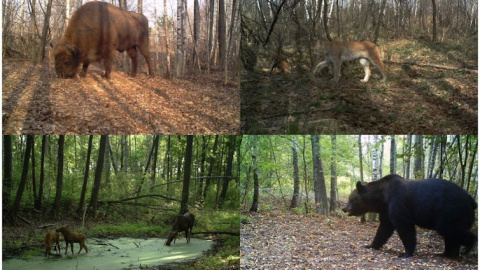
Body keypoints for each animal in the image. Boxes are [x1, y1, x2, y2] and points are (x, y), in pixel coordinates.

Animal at [342, 174, 476, 258]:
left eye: (350, 198)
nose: (343, 208)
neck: (382, 197)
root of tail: (472, 201)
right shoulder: (386, 209)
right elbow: (384, 228)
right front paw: (370, 245)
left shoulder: (397, 202)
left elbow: (404, 226)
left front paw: (405, 253)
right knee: (450, 234)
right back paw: (446, 253)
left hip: (450, 210)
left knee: (449, 230)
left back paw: (467, 247)